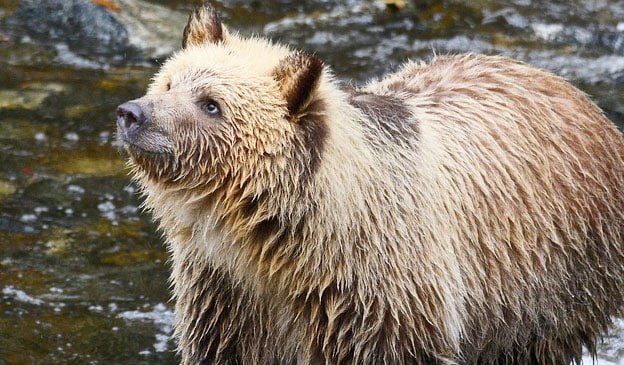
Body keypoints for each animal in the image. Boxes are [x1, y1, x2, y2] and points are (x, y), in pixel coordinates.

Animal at [114, 3, 624, 364]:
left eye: (210, 104)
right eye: (169, 82)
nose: (133, 114)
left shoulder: (379, 296)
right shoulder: (227, 296)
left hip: (547, 283)